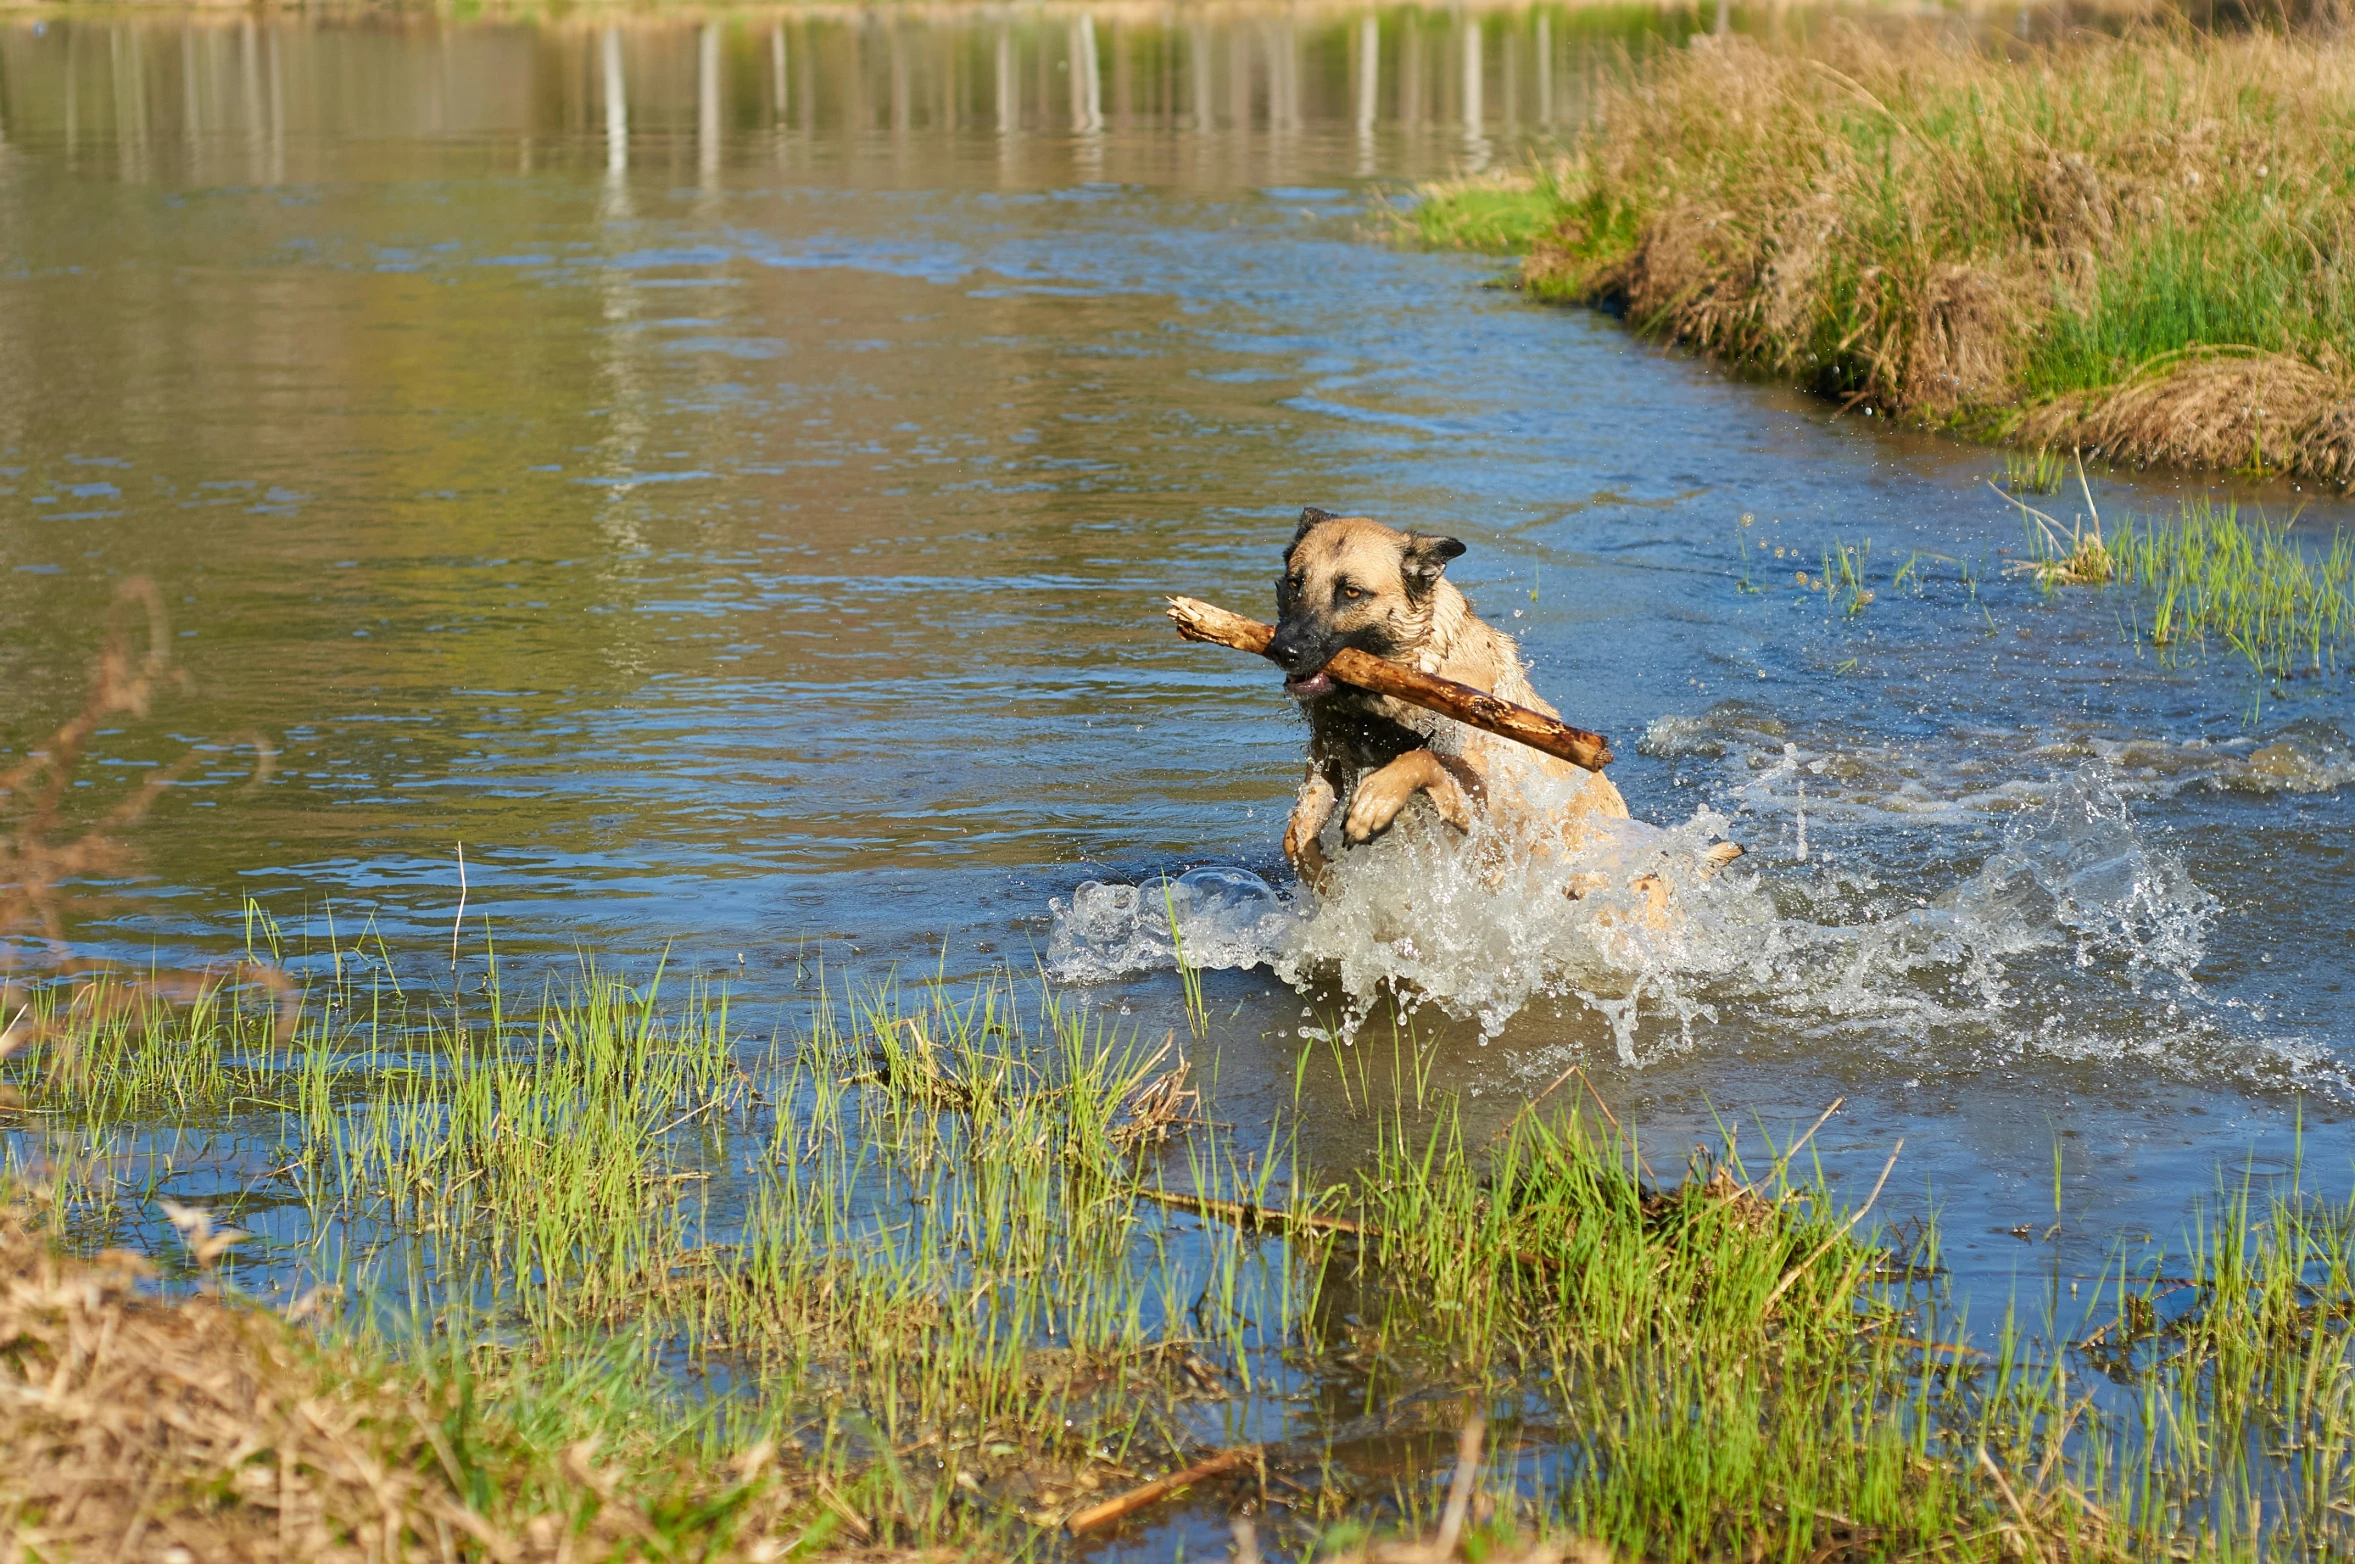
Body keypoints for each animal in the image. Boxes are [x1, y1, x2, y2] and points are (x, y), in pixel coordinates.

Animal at [1271, 506, 1733, 899]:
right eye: (1295, 583)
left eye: (1350, 592)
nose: (1283, 650)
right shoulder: (1329, 758)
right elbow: (1295, 835)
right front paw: (1326, 882)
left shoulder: (1482, 801)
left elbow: (1421, 759)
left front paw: (1375, 802)